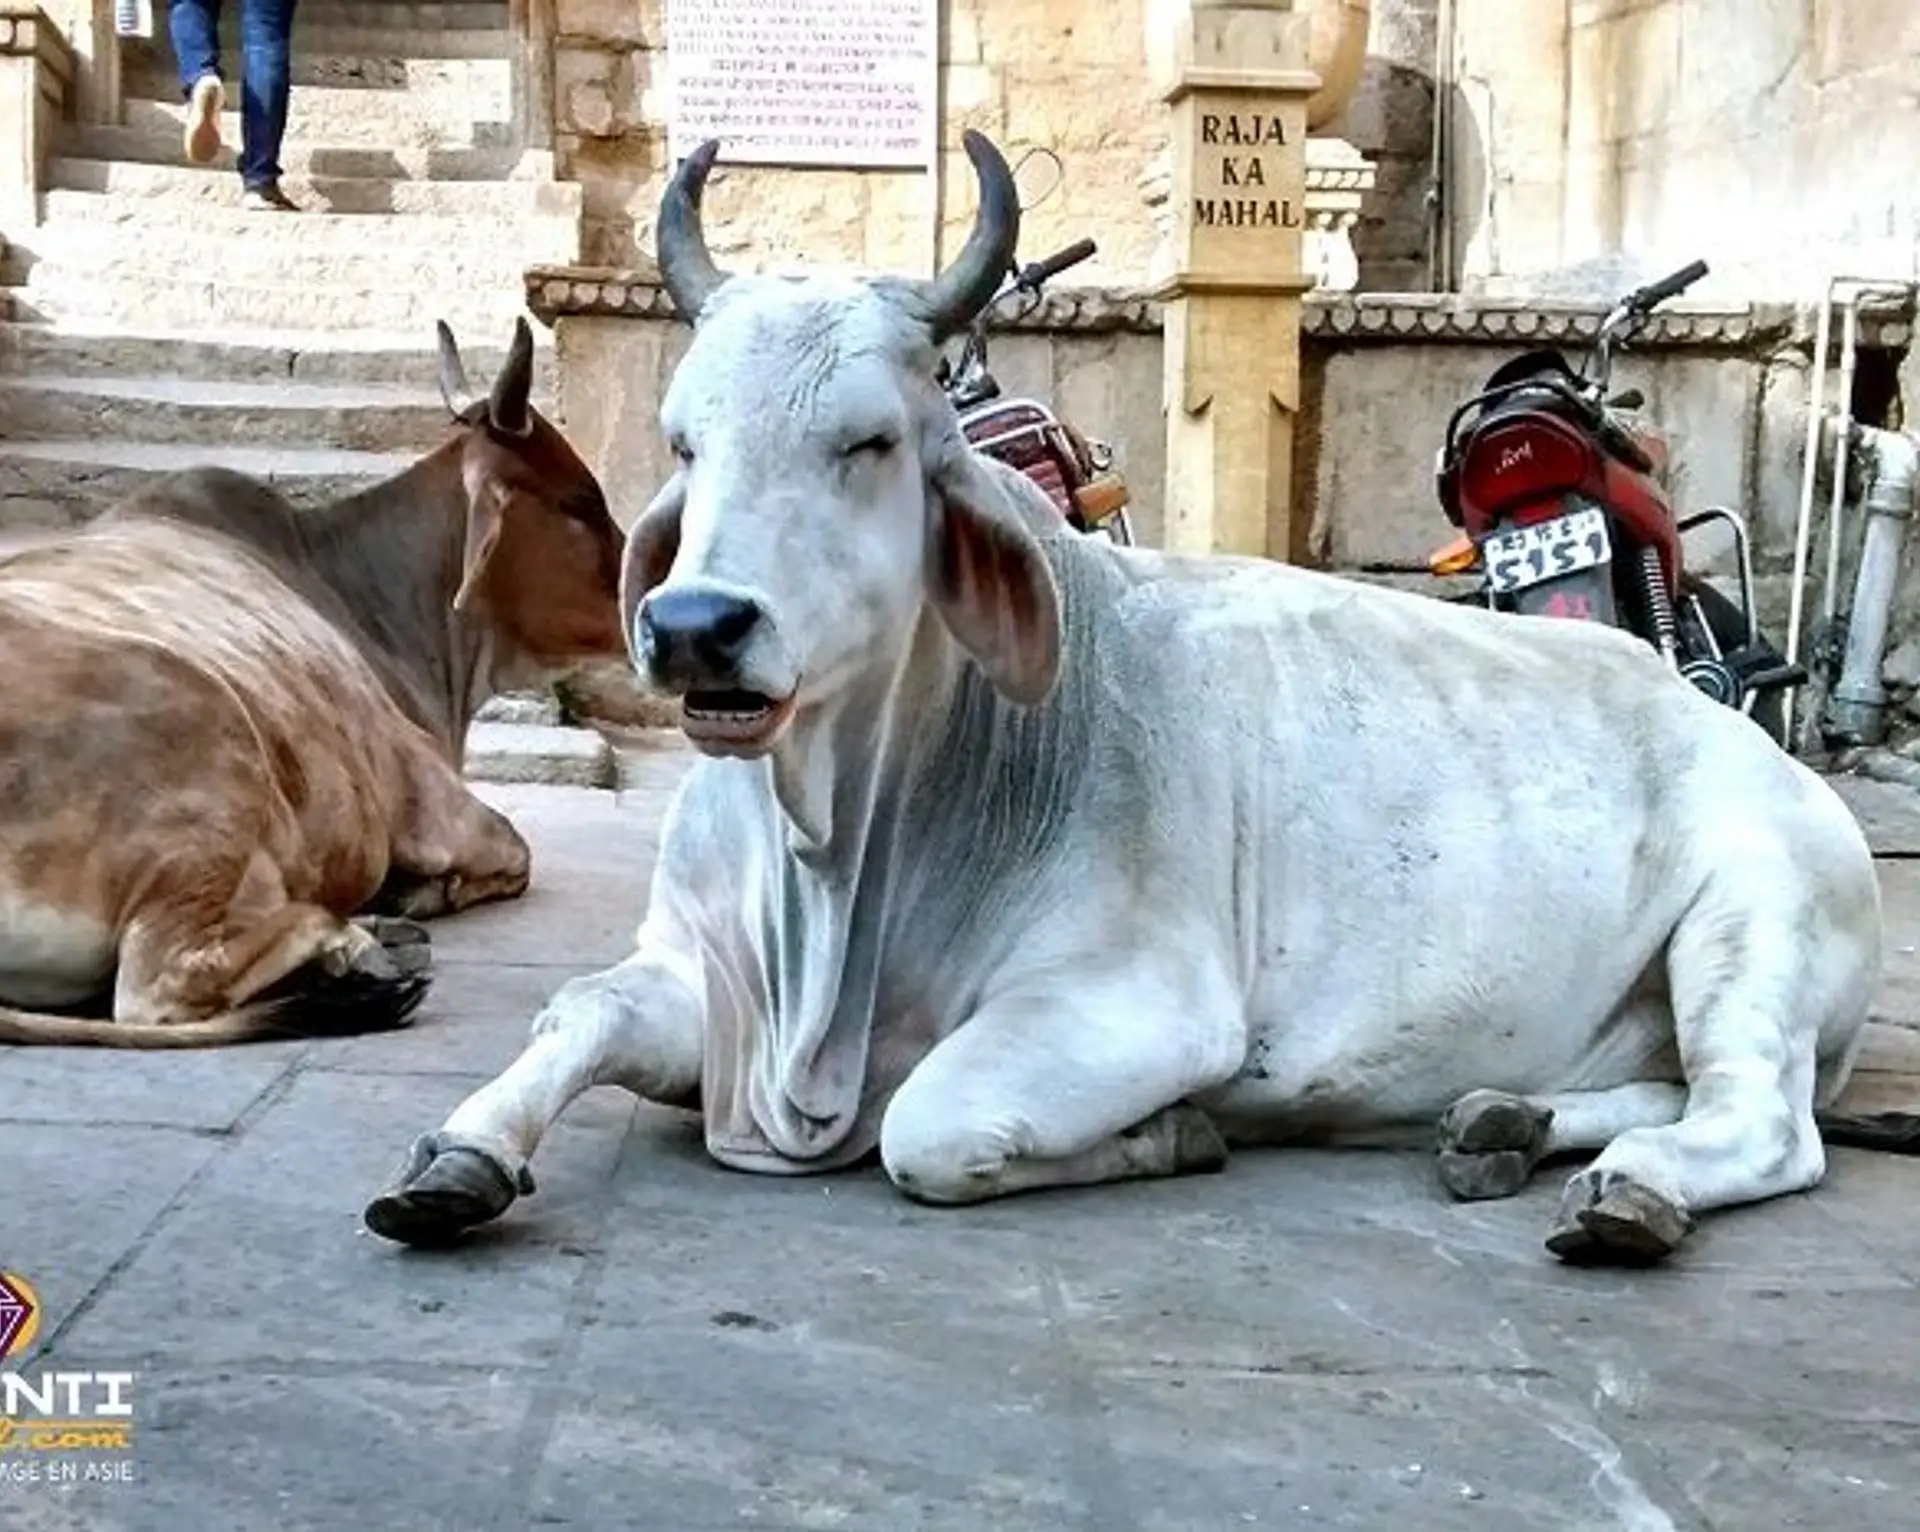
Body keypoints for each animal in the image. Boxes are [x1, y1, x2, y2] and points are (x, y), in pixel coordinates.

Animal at [0, 318, 627, 1049]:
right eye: (582, 503)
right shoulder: (438, 804)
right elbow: (516, 855)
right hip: (210, 745)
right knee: (160, 988)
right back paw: (357, 945)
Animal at [362, 132, 1889, 1267]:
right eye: (686, 440)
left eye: (870, 441)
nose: (695, 628)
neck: (835, 854)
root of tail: (1749, 742)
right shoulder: (700, 981)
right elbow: (576, 1015)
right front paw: (457, 1154)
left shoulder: (1137, 1005)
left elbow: (928, 1127)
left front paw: (1180, 1134)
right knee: (1662, 1090)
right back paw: (1504, 1123)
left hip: (1753, 921)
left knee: (1761, 1124)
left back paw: (1632, 1191)